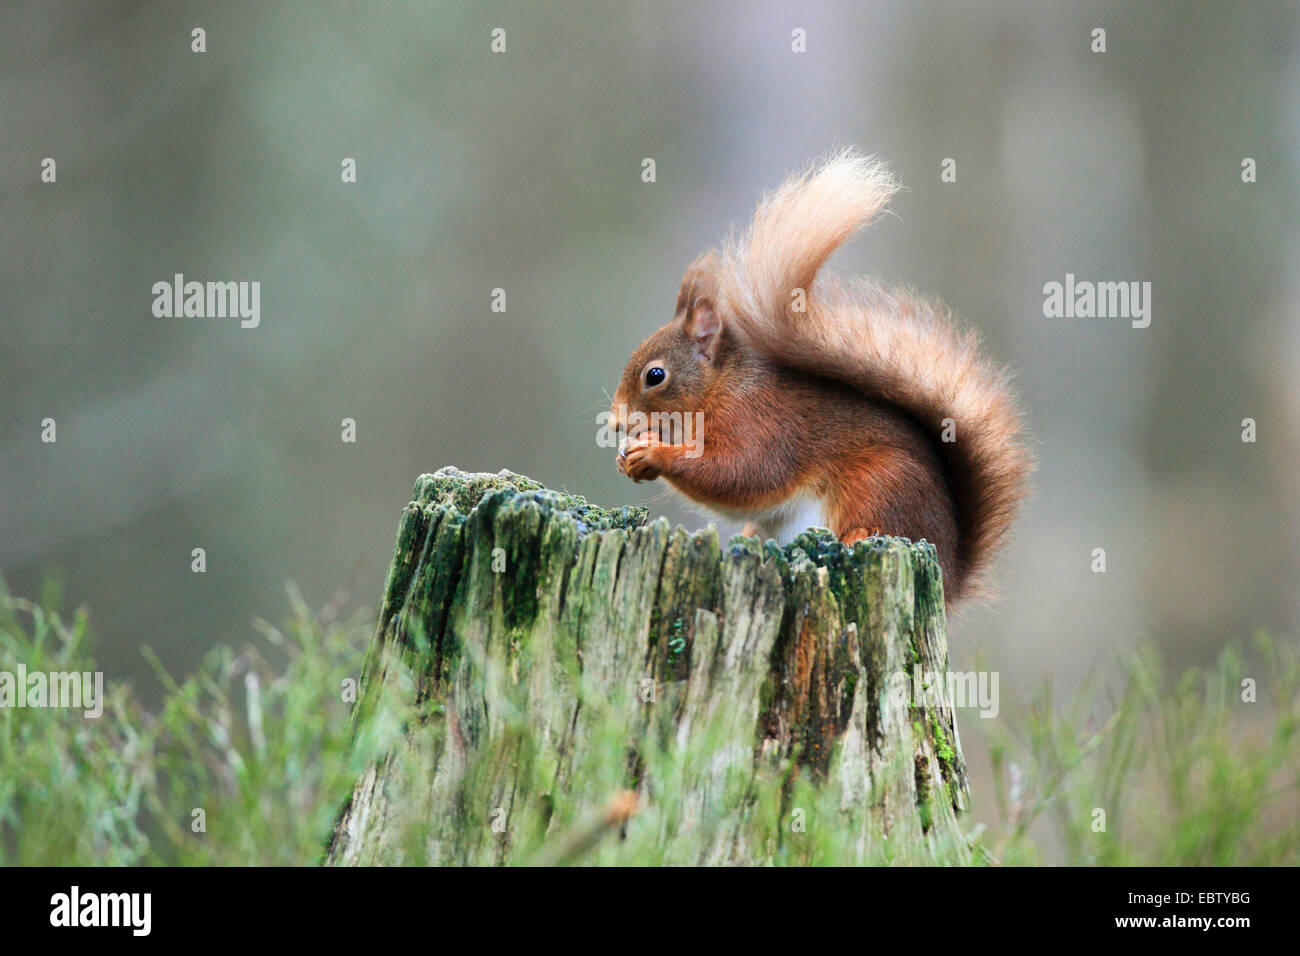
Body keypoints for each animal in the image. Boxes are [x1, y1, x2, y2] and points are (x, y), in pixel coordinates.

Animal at [611, 147, 1034, 606]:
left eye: (655, 375)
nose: (615, 422)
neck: (720, 390)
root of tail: (951, 570)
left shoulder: (759, 423)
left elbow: (740, 473)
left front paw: (653, 453)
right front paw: (627, 459)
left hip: (880, 483)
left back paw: (859, 533)